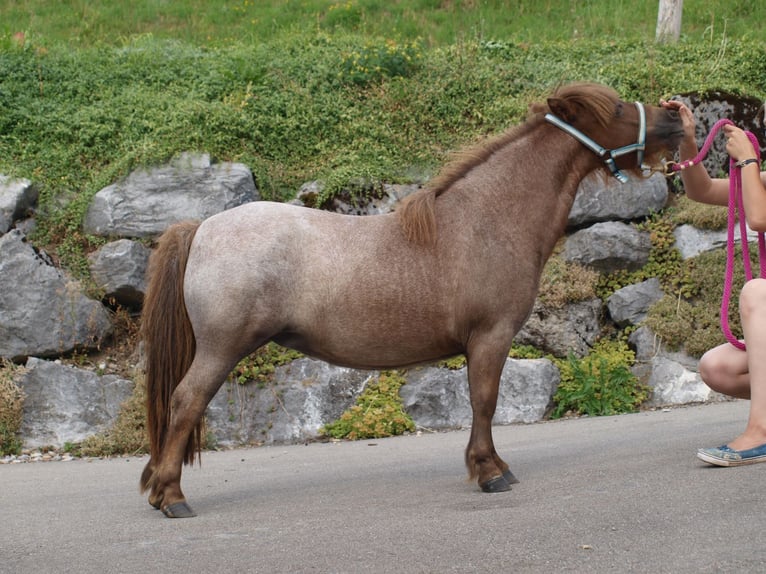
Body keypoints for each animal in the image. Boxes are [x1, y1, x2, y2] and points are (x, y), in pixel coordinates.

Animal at [138, 83, 684, 520]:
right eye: (616, 108)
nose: (675, 117)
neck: (487, 219)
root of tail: (202, 226)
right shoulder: (491, 337)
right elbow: (484, 402)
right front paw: (490, 472)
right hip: (221, 348)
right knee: (185, 402)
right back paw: (172, 497)